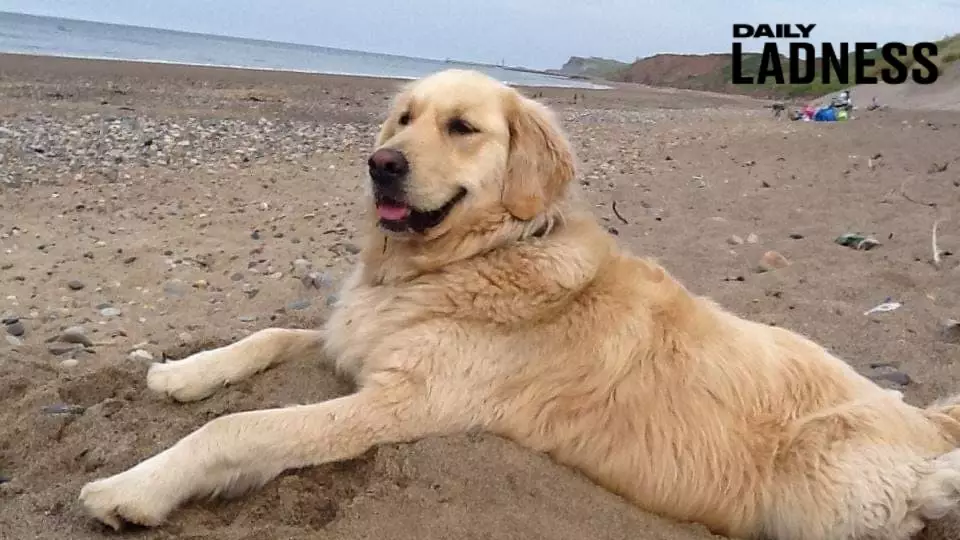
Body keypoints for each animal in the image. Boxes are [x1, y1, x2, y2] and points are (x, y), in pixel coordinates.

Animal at [79, 68, 960, 540]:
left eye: (462, 127)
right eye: (403, 117)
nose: (380, 163)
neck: (466, 259)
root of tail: (922, 419)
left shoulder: (400, 403)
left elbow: (239, 429)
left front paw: (135, 487)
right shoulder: (356, 335)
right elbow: (267, 335)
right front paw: (182, 373)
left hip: (820, 472)